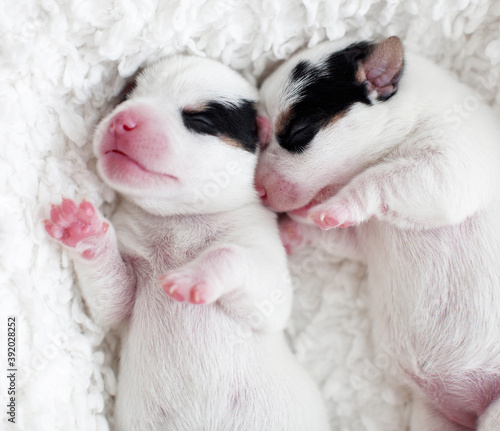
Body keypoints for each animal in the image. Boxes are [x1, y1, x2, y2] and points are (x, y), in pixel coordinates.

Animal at [45, 55, 330, 431]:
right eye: (126, 98)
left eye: (199, 120)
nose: (122, 120)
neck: (179, 220)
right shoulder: (124, 291)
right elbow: (112, 302)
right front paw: (83, 230)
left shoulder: (267, 275)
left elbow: (240, 265)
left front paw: (193, 276)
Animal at [256, 37, 500, 431]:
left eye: (297, 132)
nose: (258, 192)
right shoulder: (362, 236)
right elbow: (338, 236)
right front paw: (293, 226)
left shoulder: (450, 166)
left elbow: (384, 180)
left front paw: (333, 206)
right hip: (433, 415)